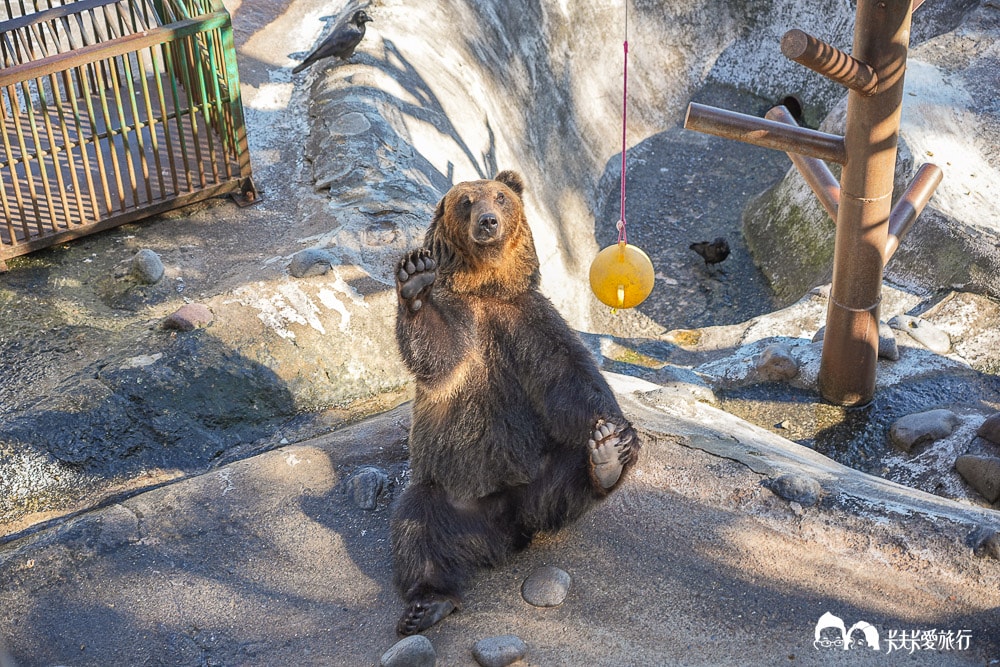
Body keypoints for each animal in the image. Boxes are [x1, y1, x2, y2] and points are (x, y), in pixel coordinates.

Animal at [391, 170, 640, 635]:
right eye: (466, 201)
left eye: (501, 197)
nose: (488, 221)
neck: (486, 288)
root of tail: (508, 530)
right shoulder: (465, 323)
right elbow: (436, 353)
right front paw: (414, 280)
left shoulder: (526, 319)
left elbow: (570, 376)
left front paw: (618, 432)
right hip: (447, 488)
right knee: (418, 527)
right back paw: (427, 602)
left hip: (539, 476)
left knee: (568, 475)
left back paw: (606, 459)